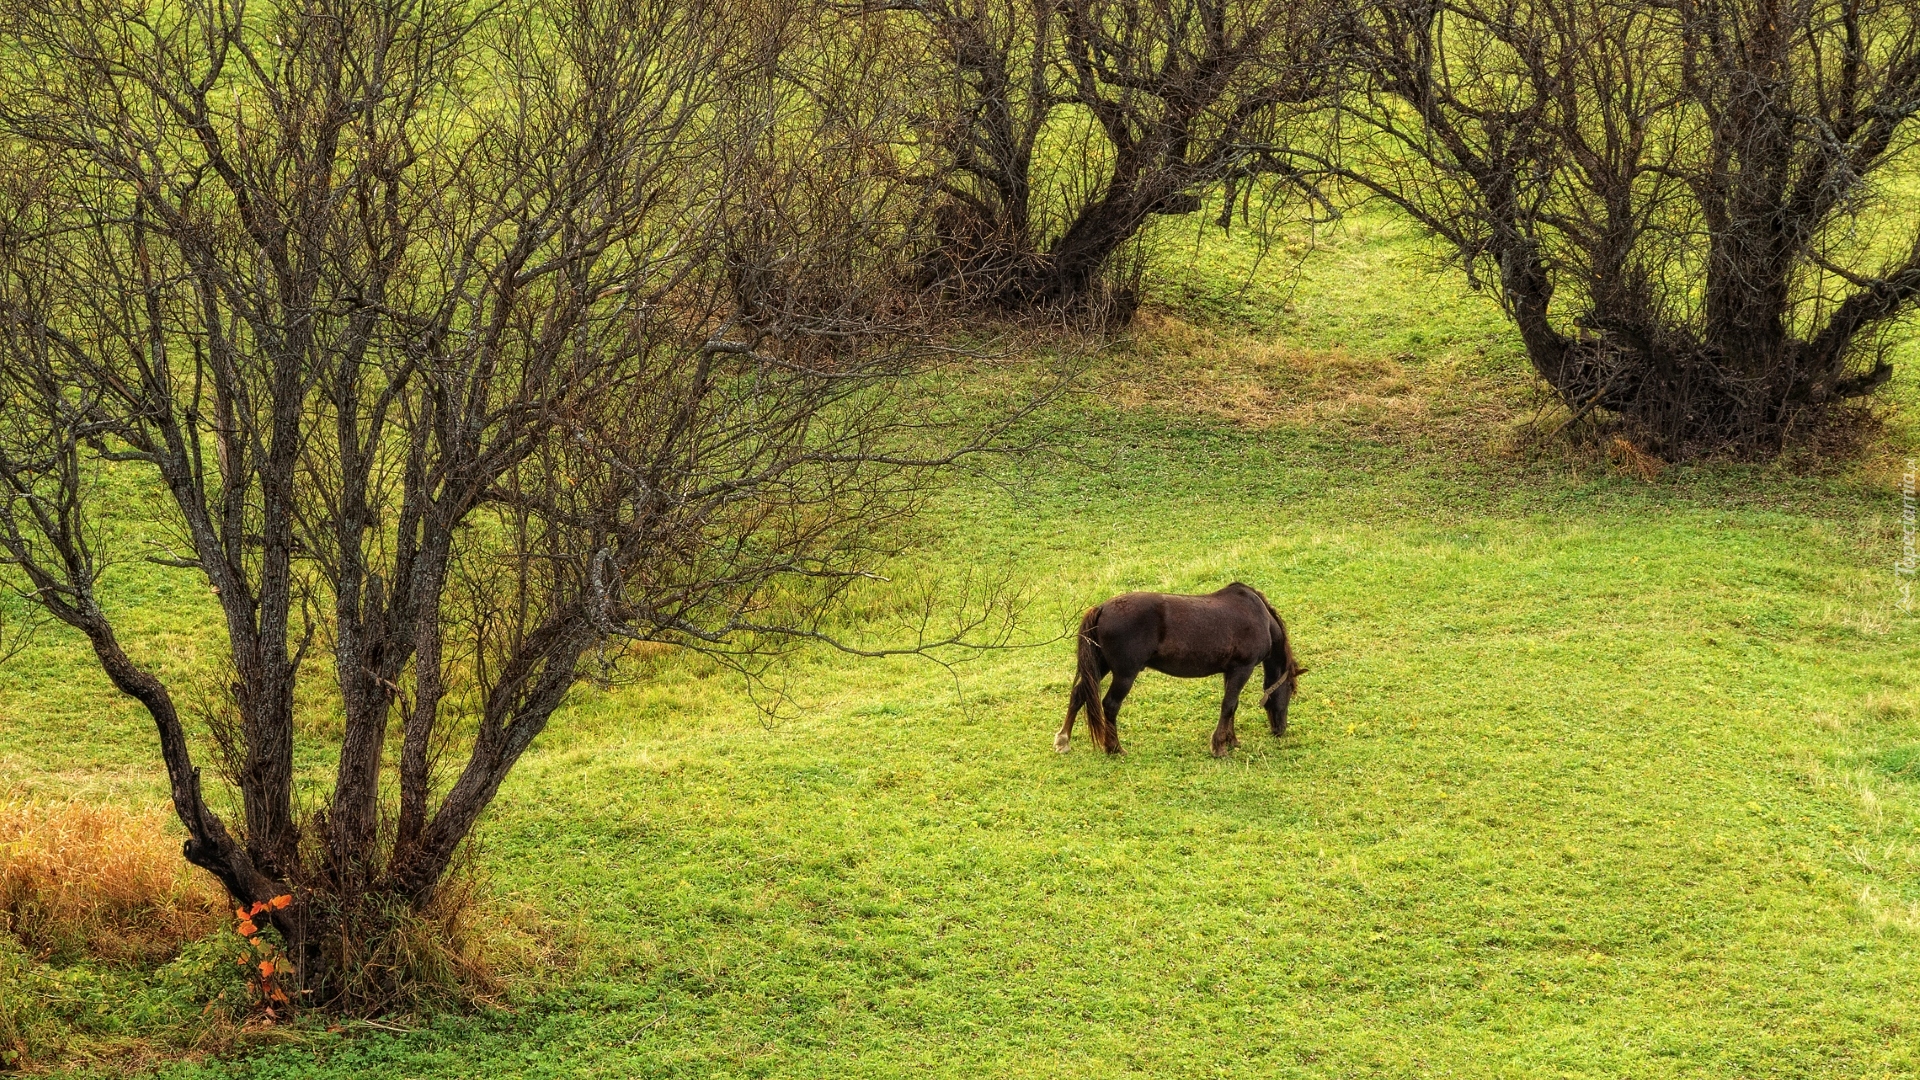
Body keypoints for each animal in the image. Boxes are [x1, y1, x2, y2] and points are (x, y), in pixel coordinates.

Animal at [1052, 584, 1305, 753]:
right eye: (1290, 690)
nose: (1280, 729)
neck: (1260, 617)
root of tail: (1102, 608)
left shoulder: (1231, 671)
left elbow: (1232, 706)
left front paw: (1231, 740)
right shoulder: (1243, 668)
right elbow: (1228, 705)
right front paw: (1219, 746)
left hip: (1101, 666)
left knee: (1079, 694)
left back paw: (1063, 740)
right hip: (1124, 675)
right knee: (1110, 705)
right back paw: (1114, 747)